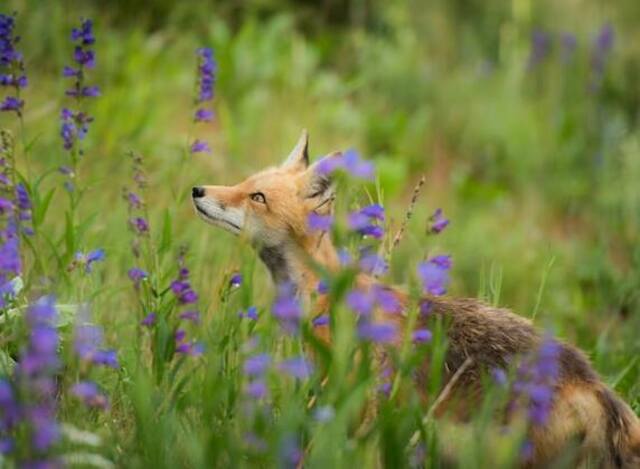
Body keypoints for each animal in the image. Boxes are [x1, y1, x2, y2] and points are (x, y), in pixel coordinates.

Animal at [191, 130, 640, 466]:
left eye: (257, 198)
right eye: (244, 184)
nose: (197, 189)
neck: (325, 296)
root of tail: (594, 381)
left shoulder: (353, 405)